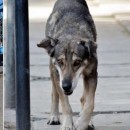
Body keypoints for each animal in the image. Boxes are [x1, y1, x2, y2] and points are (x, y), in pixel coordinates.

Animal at [37, 0, 97, 129]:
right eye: (60, 62)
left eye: (77, 62)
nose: (66, 86)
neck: (71, 33)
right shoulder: (58, 76)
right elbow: (65, 104)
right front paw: (67, 124)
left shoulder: (92, 74)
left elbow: (89, 103)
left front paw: (82, 123)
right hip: (53, 72)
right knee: (54, 94)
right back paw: (54, 117)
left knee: (83, 98)